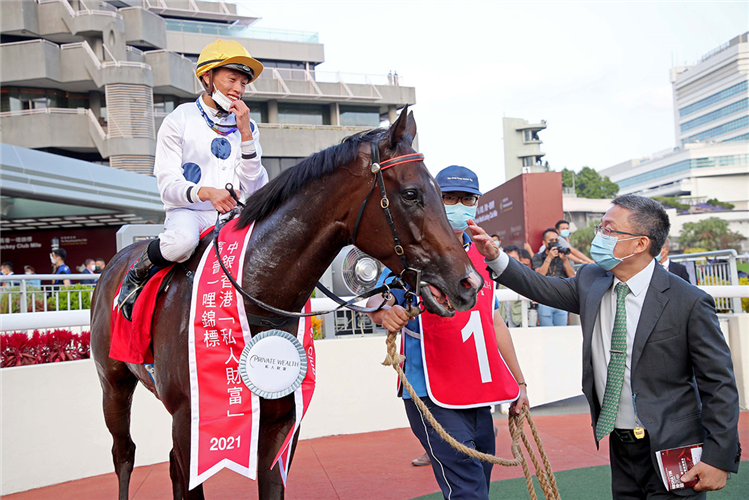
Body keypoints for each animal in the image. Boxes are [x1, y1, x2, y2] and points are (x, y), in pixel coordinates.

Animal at [92, 107, 480, 498]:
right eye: (411, 194)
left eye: (440, 192)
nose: (469, 282)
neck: (255, 298)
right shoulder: (190, 421)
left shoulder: (283, 420)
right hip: (113, 384)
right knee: (124, 453)